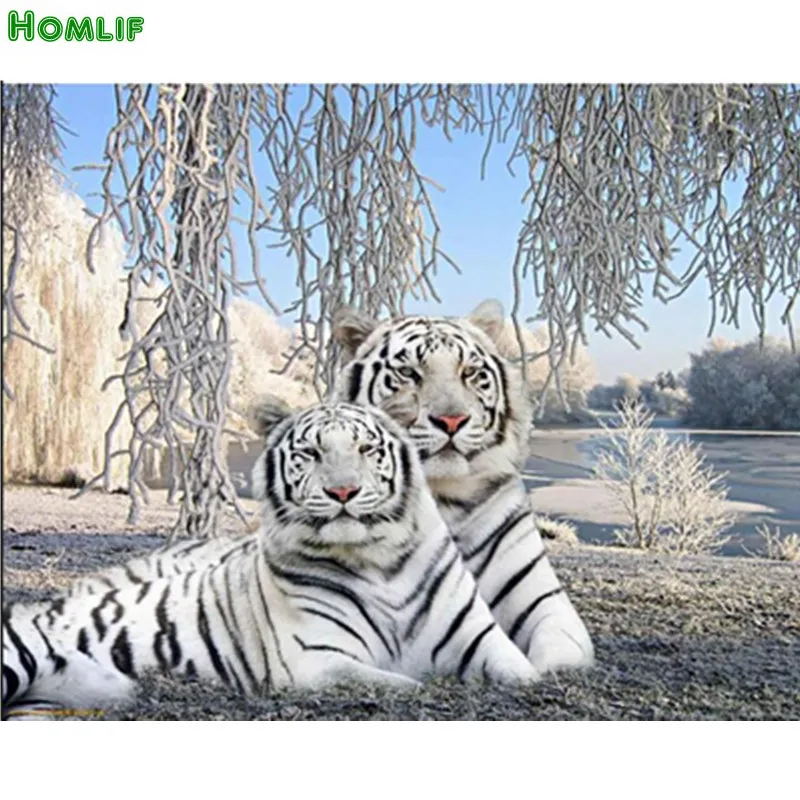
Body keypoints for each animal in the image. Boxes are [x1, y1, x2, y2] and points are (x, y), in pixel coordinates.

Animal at [2, 398, 540, 720]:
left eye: (366, 448)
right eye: (310, 453)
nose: (342, 492)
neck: (379, 562)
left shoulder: (482, 641)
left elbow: (525, 673)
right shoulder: (317, 661)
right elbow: (405, 682)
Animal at [331, 299, 595, 675]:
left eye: (469, 372)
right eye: (408, 373)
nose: (452, 420)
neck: (444, 495)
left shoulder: (541, 597)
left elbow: (559, 649)